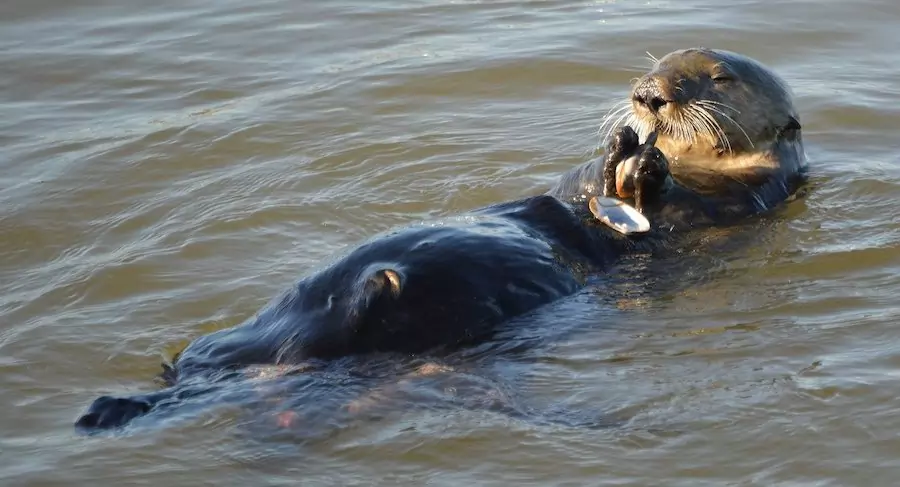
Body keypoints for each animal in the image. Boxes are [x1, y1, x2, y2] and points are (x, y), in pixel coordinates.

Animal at [75, 47, 808, 432]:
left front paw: (643, 172)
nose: (648, 94)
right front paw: (620, 151)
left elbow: (684, 209)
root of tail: (278, 360)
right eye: (658, 63)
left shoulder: (744, 201)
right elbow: (579, 183)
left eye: (718, 78)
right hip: (238, 339)